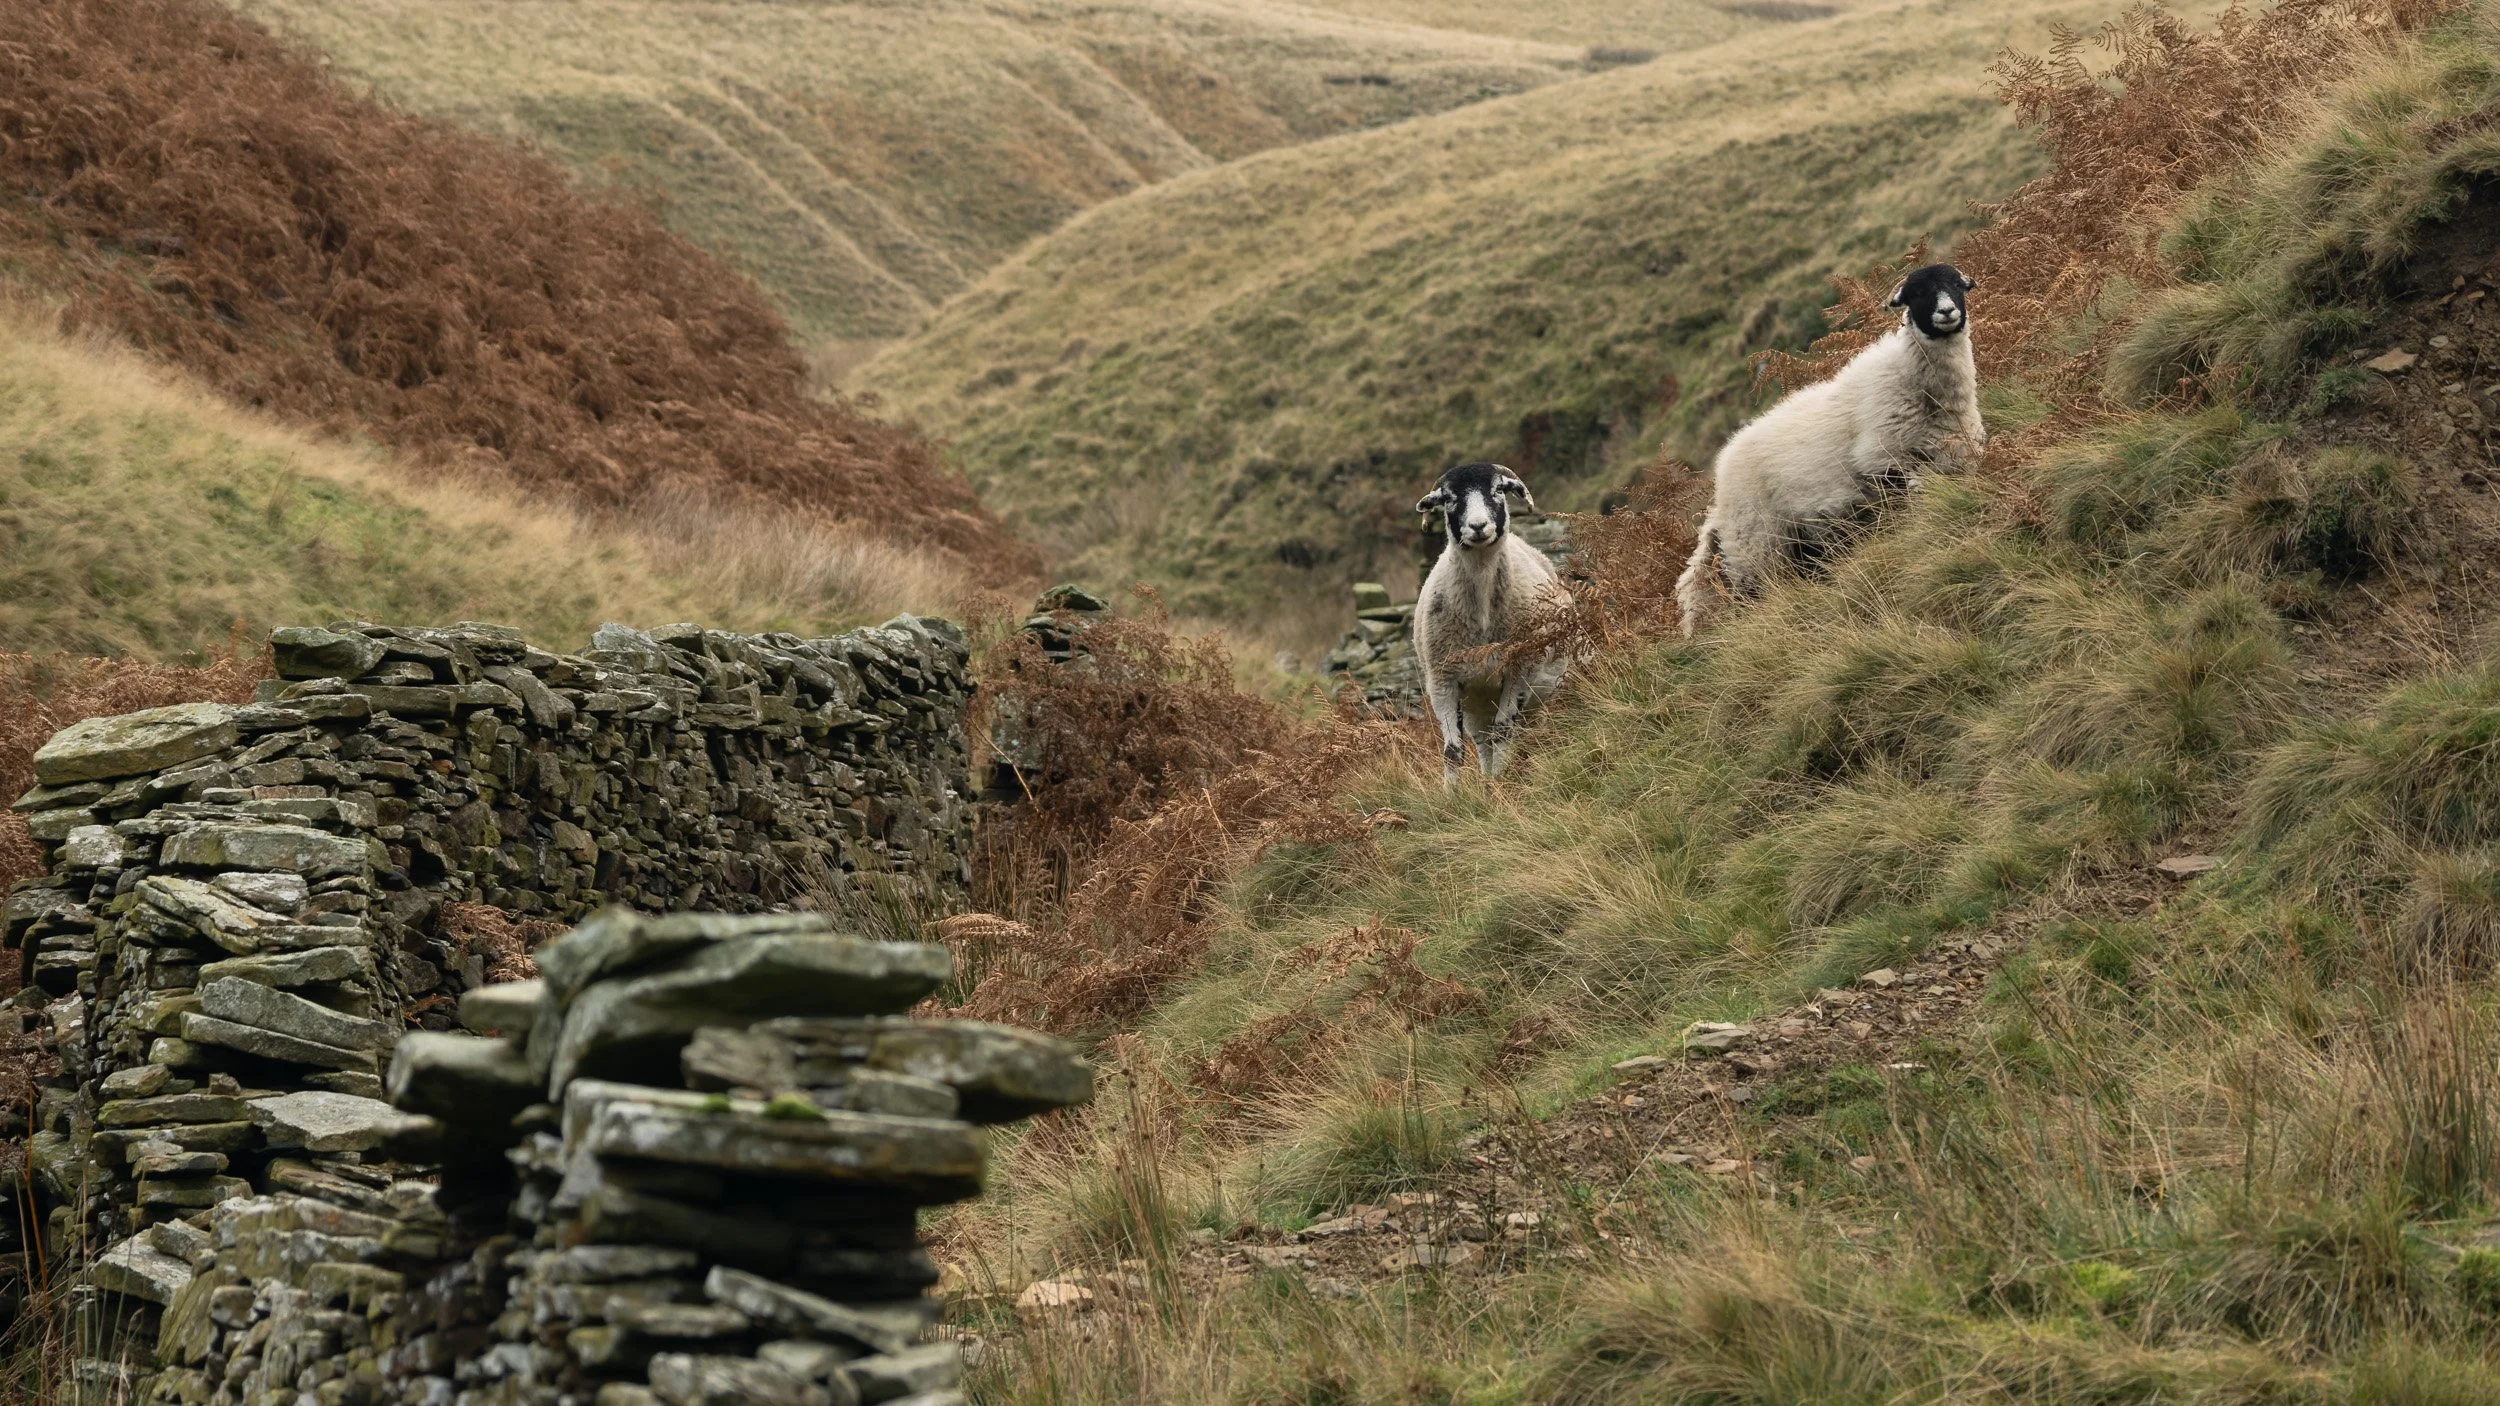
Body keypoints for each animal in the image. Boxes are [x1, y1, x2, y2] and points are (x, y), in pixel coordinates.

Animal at [1412, 461, 1570, 784]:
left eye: (1498, 489)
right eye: (1448, 498)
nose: (1478, 526)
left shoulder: (1519, 669)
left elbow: (1504, 730)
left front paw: (1503, 782)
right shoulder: (1442, 680)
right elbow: (1452, 750)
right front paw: (1454, 794)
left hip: (1540, 690)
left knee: (1514, 731)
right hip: (1476, 697)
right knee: (1483, 739)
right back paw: (1487, 779)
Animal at [1675, 262, 1985, 635]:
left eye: (1956, 285)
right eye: (1918, 293)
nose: (1947, 312)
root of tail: (1718, 501)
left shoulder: (1955, 457)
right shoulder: (1884, 460)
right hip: (1758, 547)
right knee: (1754, 597)